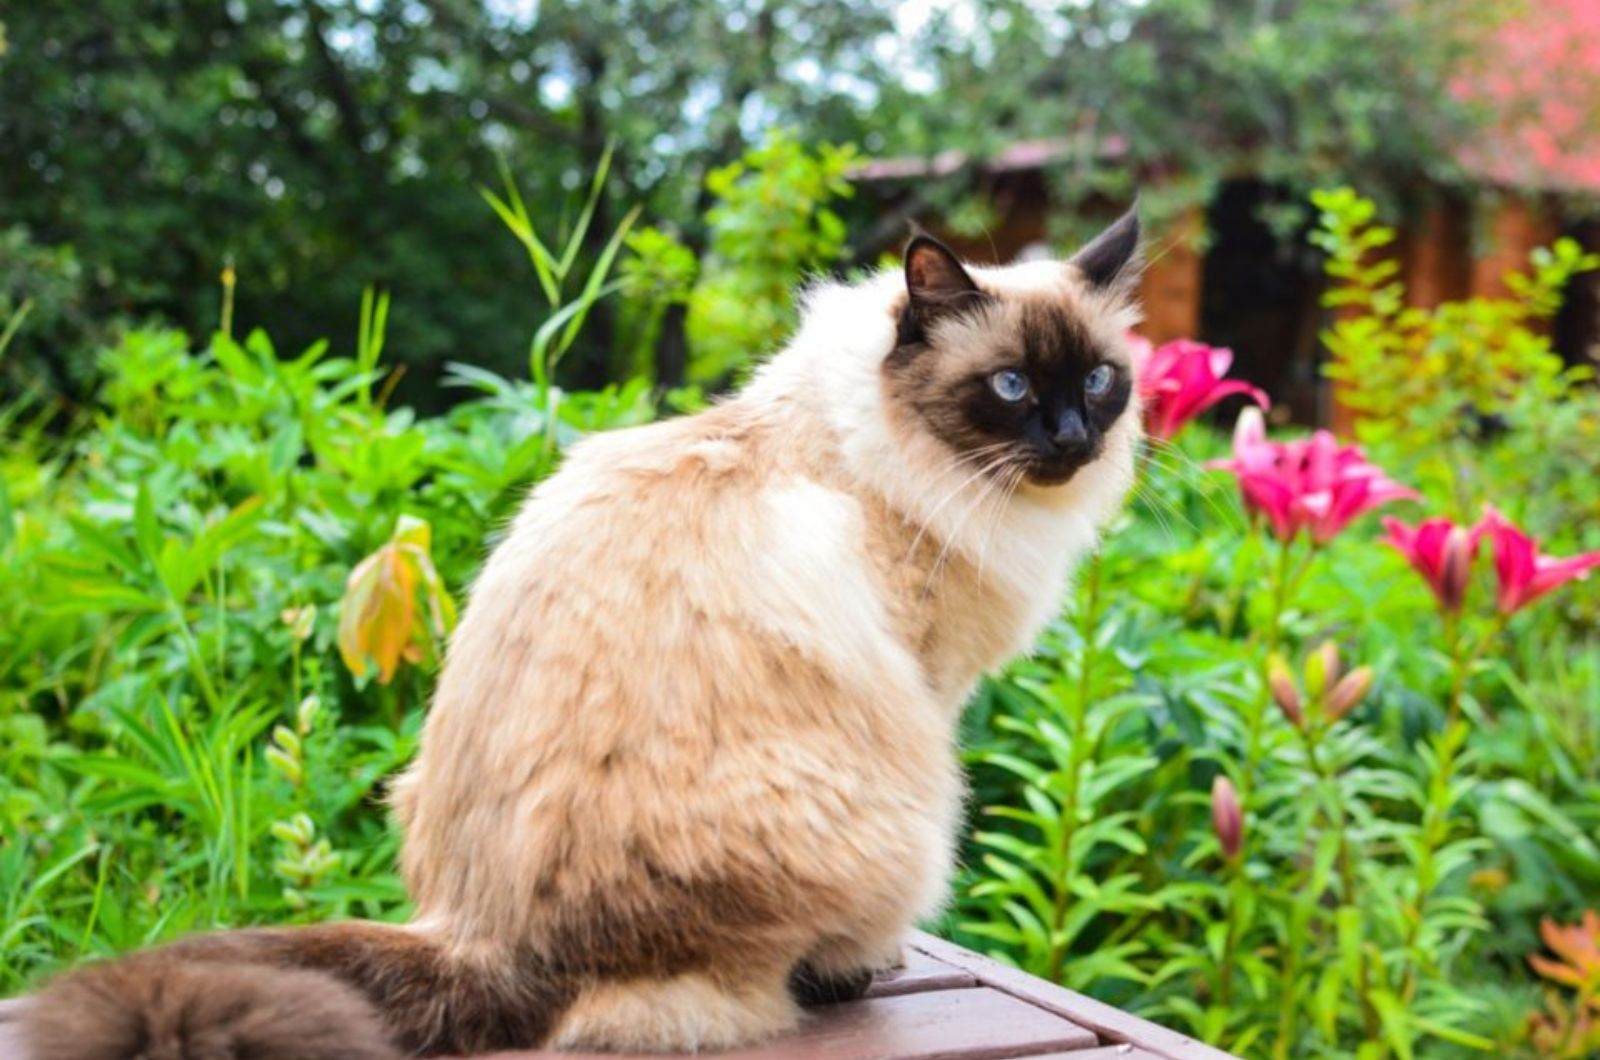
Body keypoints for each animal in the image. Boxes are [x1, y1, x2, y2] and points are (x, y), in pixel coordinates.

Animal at [21, 203, 1152, 1056]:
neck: (877, 454)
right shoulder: (932, 683)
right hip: (907, 810)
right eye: (1012, 385)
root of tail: (480, 941)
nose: (1071, 437)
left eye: (1098, 379)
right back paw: (842, 974)